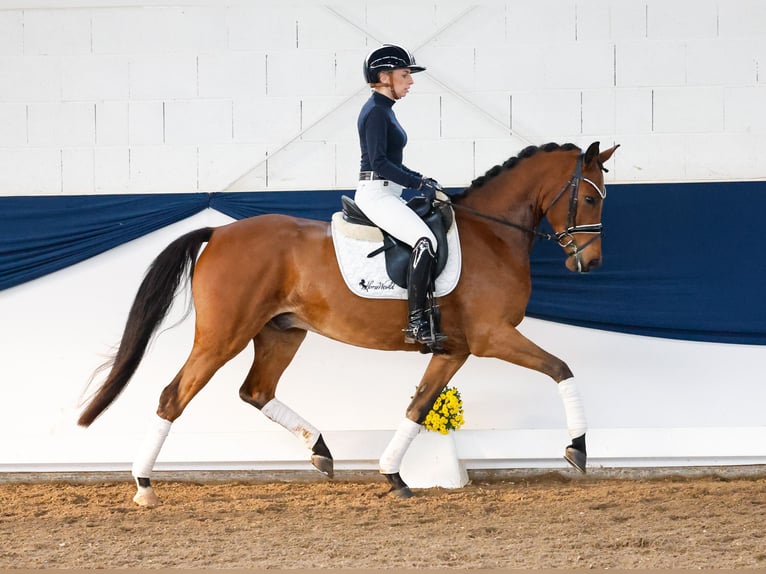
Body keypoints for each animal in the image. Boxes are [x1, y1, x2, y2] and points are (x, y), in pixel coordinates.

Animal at [78, 141, 620, 508]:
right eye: (592, 199)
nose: (590, 264)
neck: (492, 234)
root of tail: (220, 232)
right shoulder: (492, 337)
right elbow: (562, 368)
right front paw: (577, 448)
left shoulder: (455, 349)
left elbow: (418, 407)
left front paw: (392, 476)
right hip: (222, 336)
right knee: (175, 395)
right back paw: (144, 486)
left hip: (281, 332)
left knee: (255, 391)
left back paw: (320, 451)